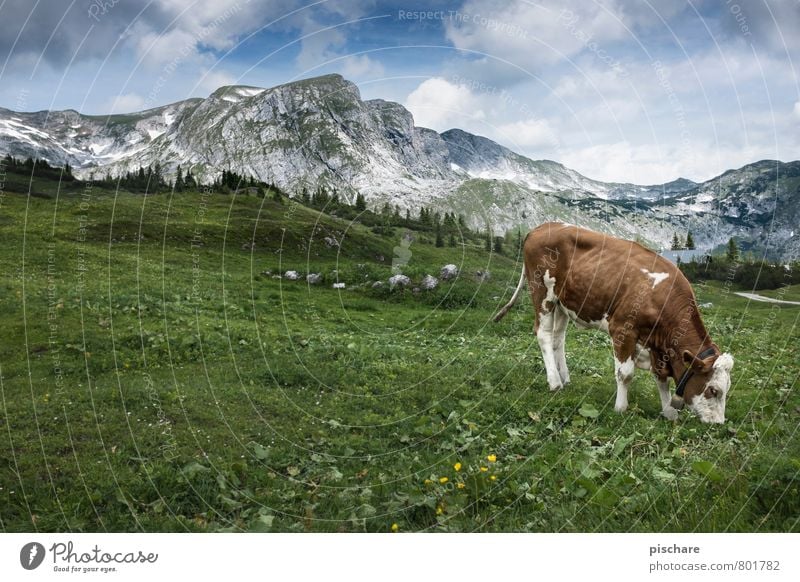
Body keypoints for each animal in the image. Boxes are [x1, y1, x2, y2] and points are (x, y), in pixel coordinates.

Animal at [496, 224, 736, 424]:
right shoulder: (623, 329)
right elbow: (625, 374)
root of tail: (541, 227)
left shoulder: (658, 346)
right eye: (713, 390)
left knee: (558, 338)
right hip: (542, 291)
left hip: (563, 302)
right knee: (543, 334)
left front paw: (669, 411)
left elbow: (661, 378)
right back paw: (554, 382)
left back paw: (564, 378)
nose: (718, 423)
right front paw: (621, 408)